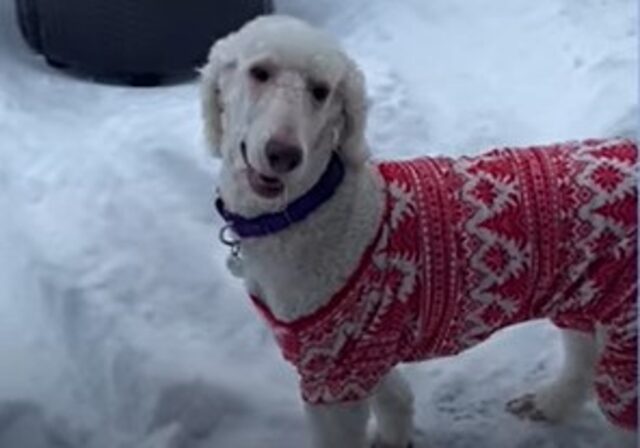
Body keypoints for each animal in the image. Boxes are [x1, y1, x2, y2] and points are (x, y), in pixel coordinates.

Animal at [199, 14, 636, 448]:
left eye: (320, 91)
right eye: (259, 72)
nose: (284, 155)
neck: (310, 205)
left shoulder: (333, 369)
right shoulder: (363, 350)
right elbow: (396, 399)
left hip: (626, 320)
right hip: (585, 294)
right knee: (582, 357)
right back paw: (549, 403)